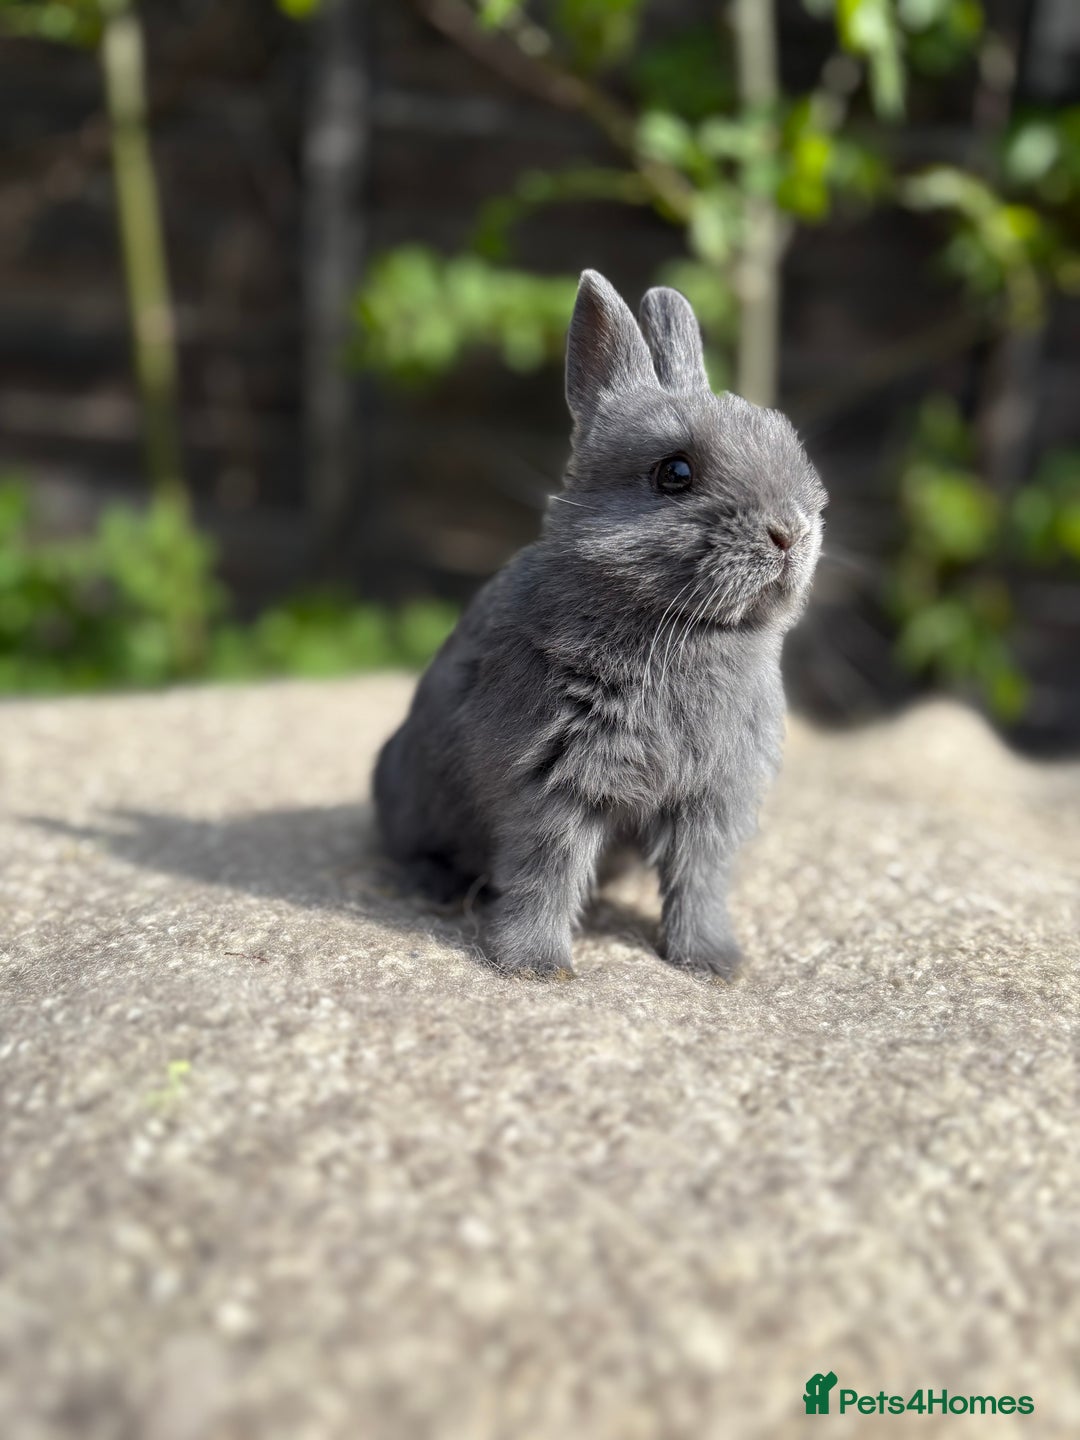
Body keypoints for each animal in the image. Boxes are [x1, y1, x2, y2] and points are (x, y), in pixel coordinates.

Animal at [373, 269, 827, 978]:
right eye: (675, 473)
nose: (791, 531)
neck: (683, 630)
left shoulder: (712, 800)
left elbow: (700, 882)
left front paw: (713, 962)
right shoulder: (551, 785)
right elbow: (547, 874)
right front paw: (535, 965)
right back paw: (436, 888)